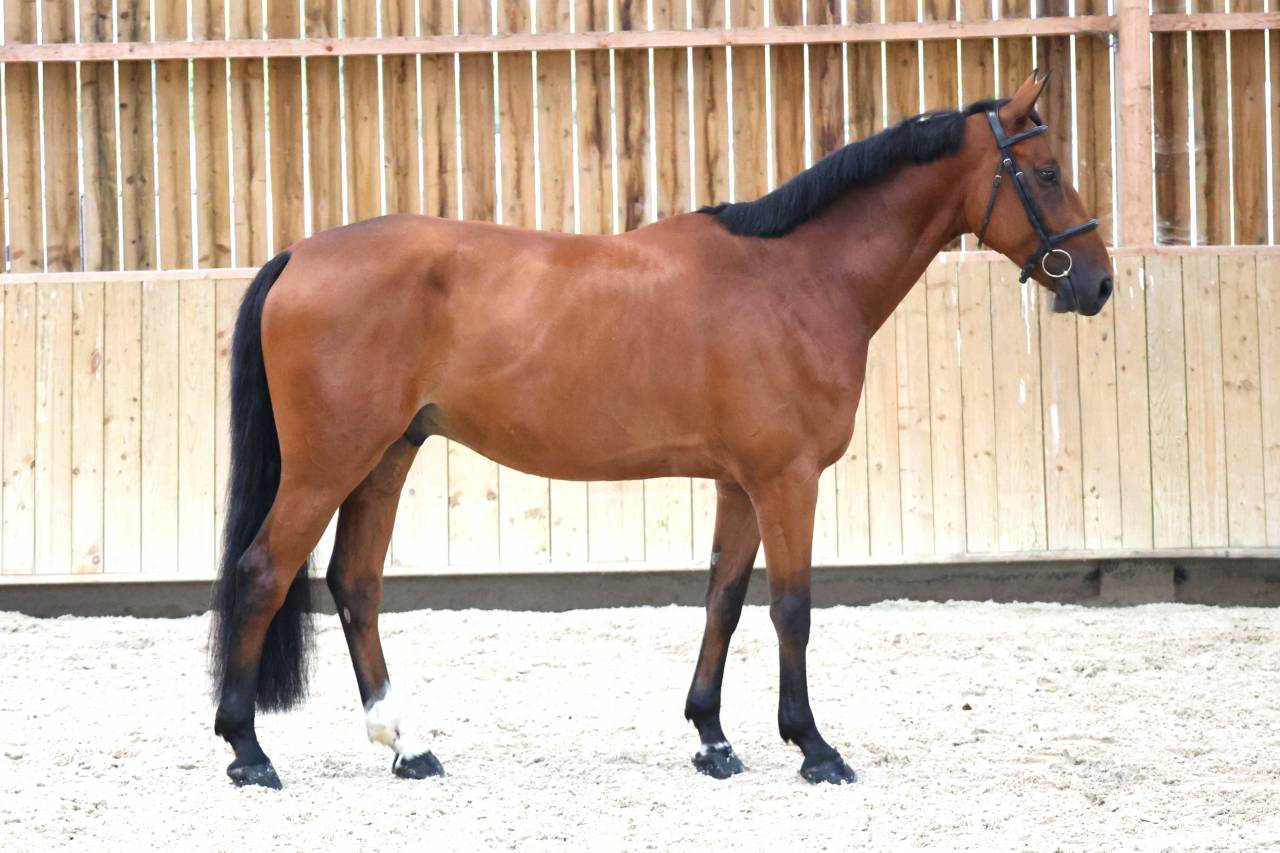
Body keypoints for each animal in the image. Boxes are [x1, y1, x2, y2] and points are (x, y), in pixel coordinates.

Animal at [209, 70, 1111, 789]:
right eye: (1048, 171)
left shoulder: (741, 483)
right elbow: (792, 607)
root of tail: (297, 255)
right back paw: (249, 751)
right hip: (328, 465)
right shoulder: (787, 479)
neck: (795, 278)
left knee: (355, 584)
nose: (1099, 282)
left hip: (385, 457)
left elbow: (724, 600)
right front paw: (814, 747)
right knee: (263, 572)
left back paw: (407, 745)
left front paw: (713, 738)